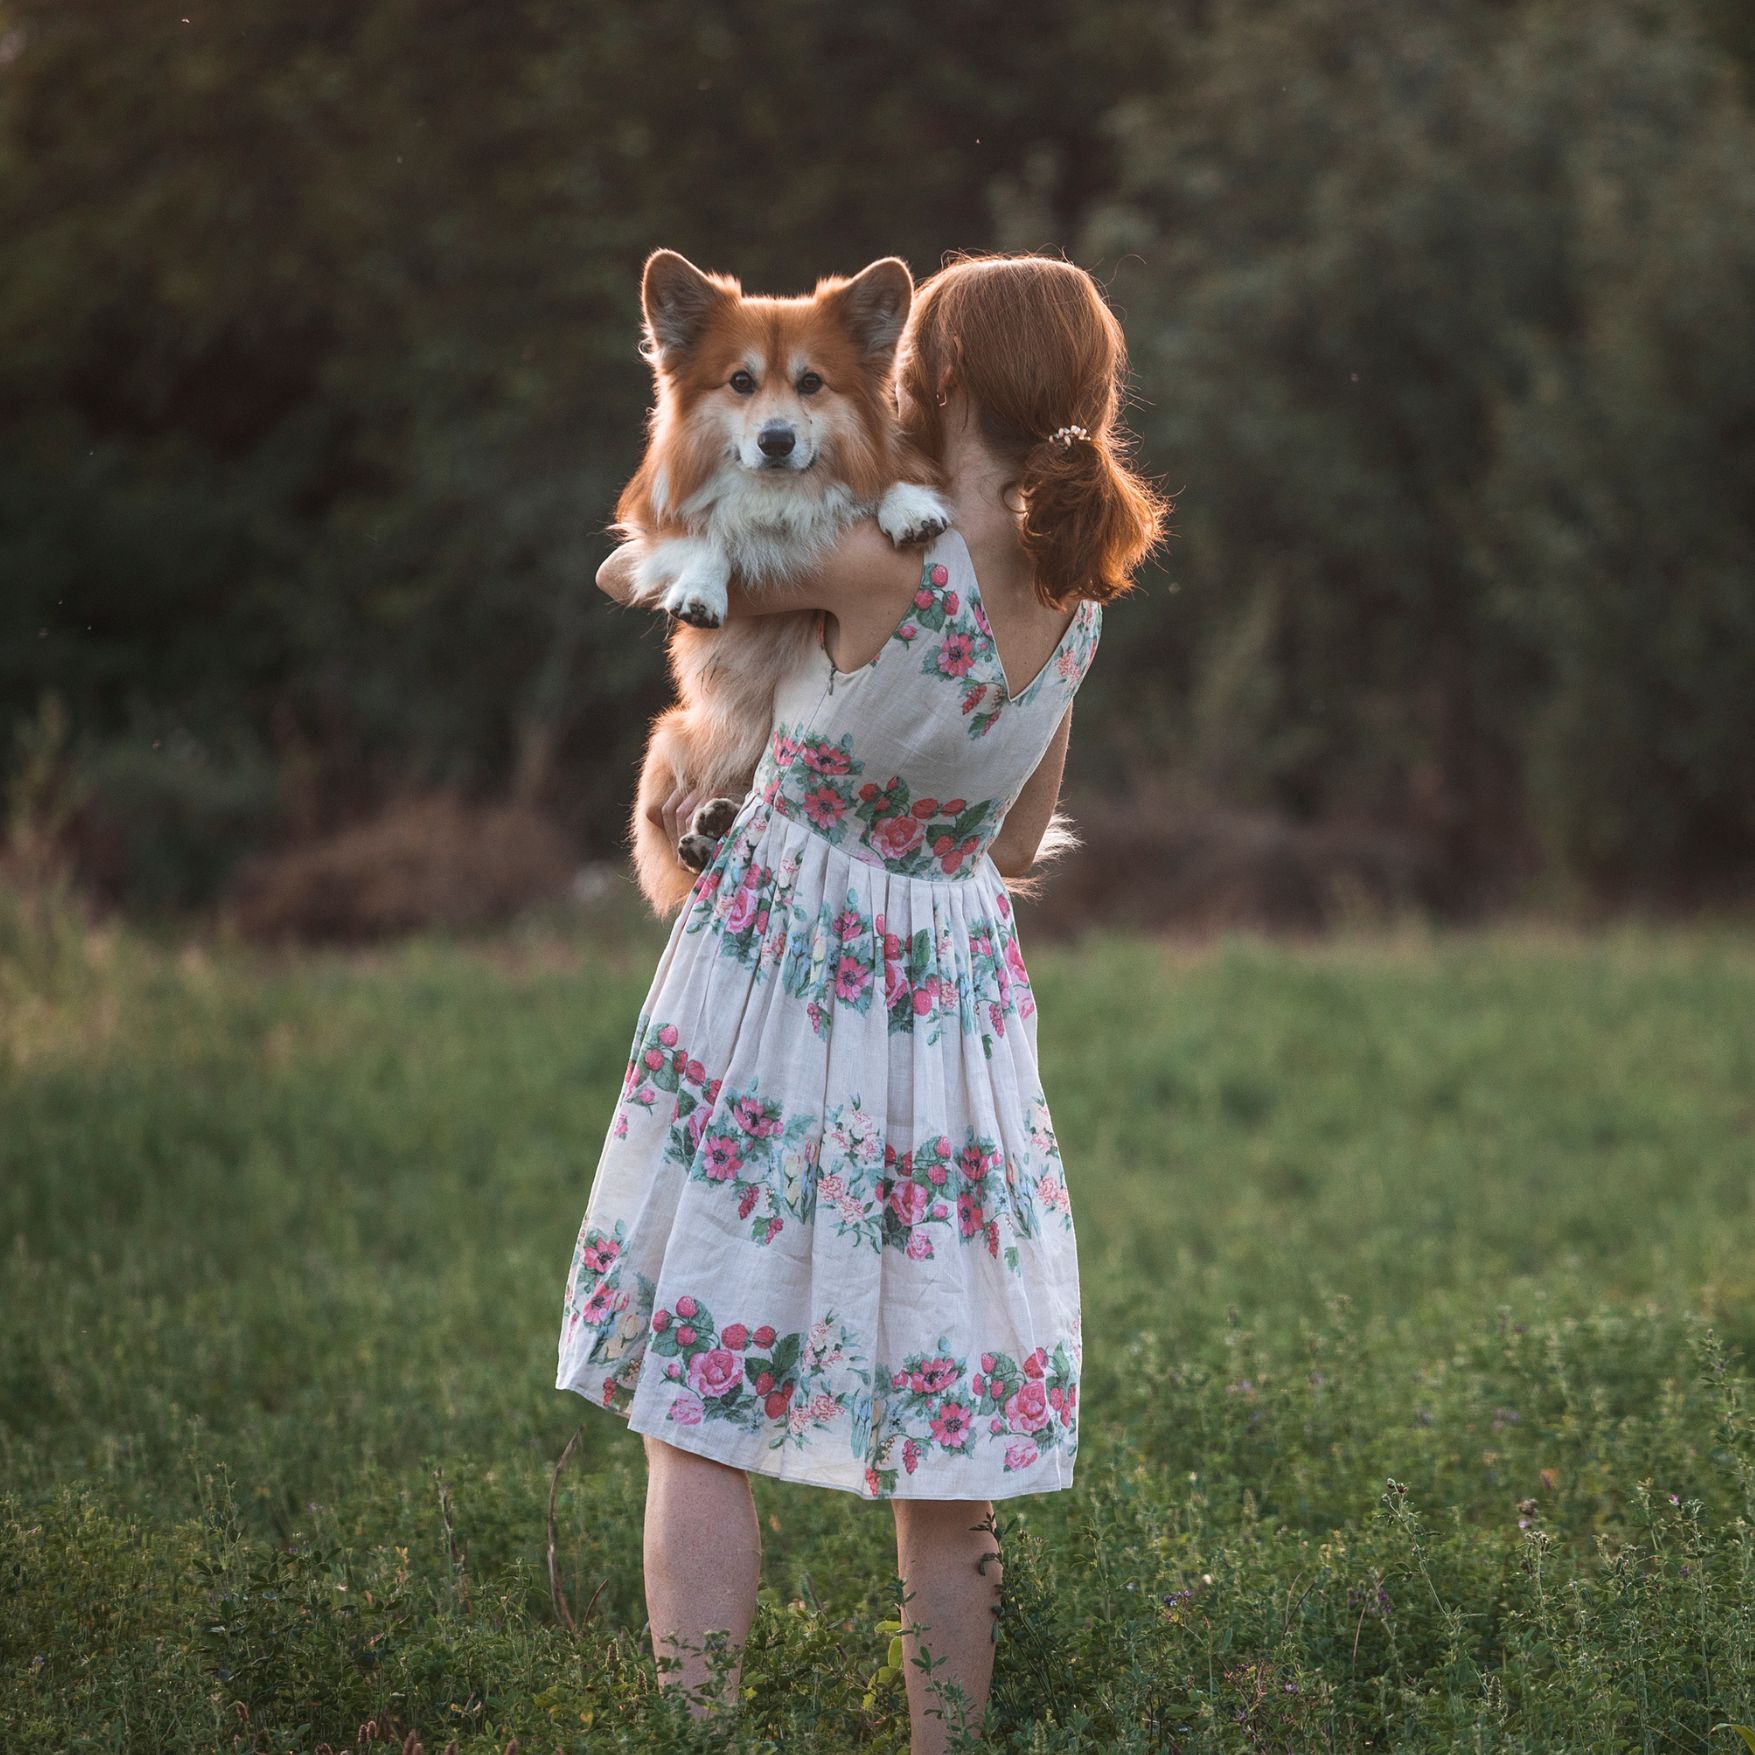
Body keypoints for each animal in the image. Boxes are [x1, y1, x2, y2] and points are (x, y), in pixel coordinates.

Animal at [614, 256, 947, 919]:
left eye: (811, 382)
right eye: (740, 381)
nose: (776, 441)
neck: (777, 496)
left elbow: (876, 488)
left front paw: (906, 506)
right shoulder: (646, 526)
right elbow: (706, 533)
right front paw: (703, 589)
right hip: (672, 735)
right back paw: (707, 831)